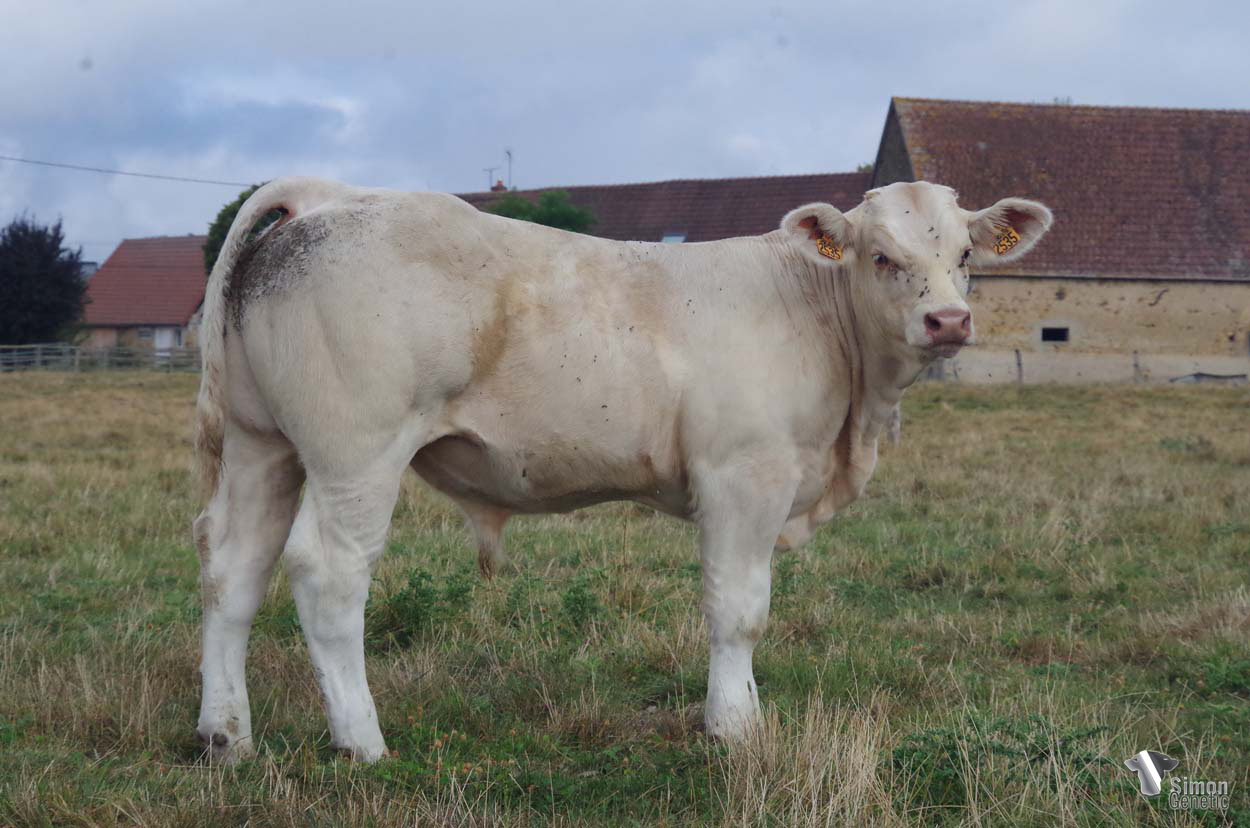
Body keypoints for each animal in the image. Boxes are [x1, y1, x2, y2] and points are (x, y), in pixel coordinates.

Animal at [192, 177, 1051, 761]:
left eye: (964, 255)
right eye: (881, 256)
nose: (948, 320)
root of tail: (330, 200)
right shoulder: (745, 476)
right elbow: (739, 611)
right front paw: (735, 728)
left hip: (261, 446)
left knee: (233, 571)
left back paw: (226, 735)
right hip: (357, 454)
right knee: (329, 575)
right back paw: (362, 741)